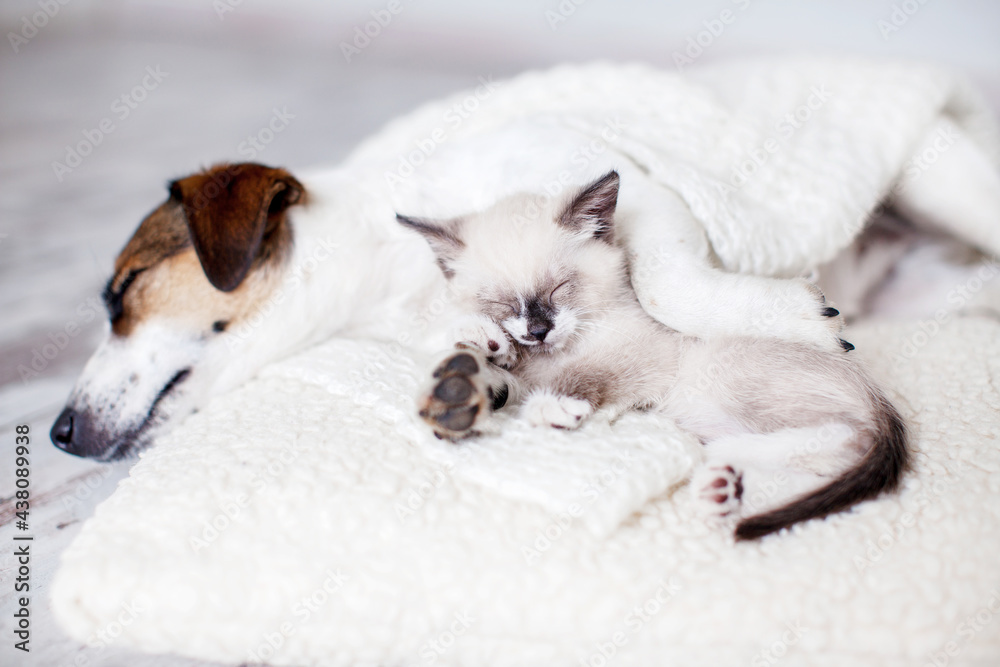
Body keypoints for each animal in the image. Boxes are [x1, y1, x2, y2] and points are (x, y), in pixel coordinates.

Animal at [396, 172, 908, 544]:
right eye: (500, 302)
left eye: (560, 288)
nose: (539, 331)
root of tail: (880, 401)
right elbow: (488, 366)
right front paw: (474, 357)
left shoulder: (638, 355)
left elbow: (588, 376)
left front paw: (552, 406)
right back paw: (723, 490)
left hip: (721, 376)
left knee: (850, 441)